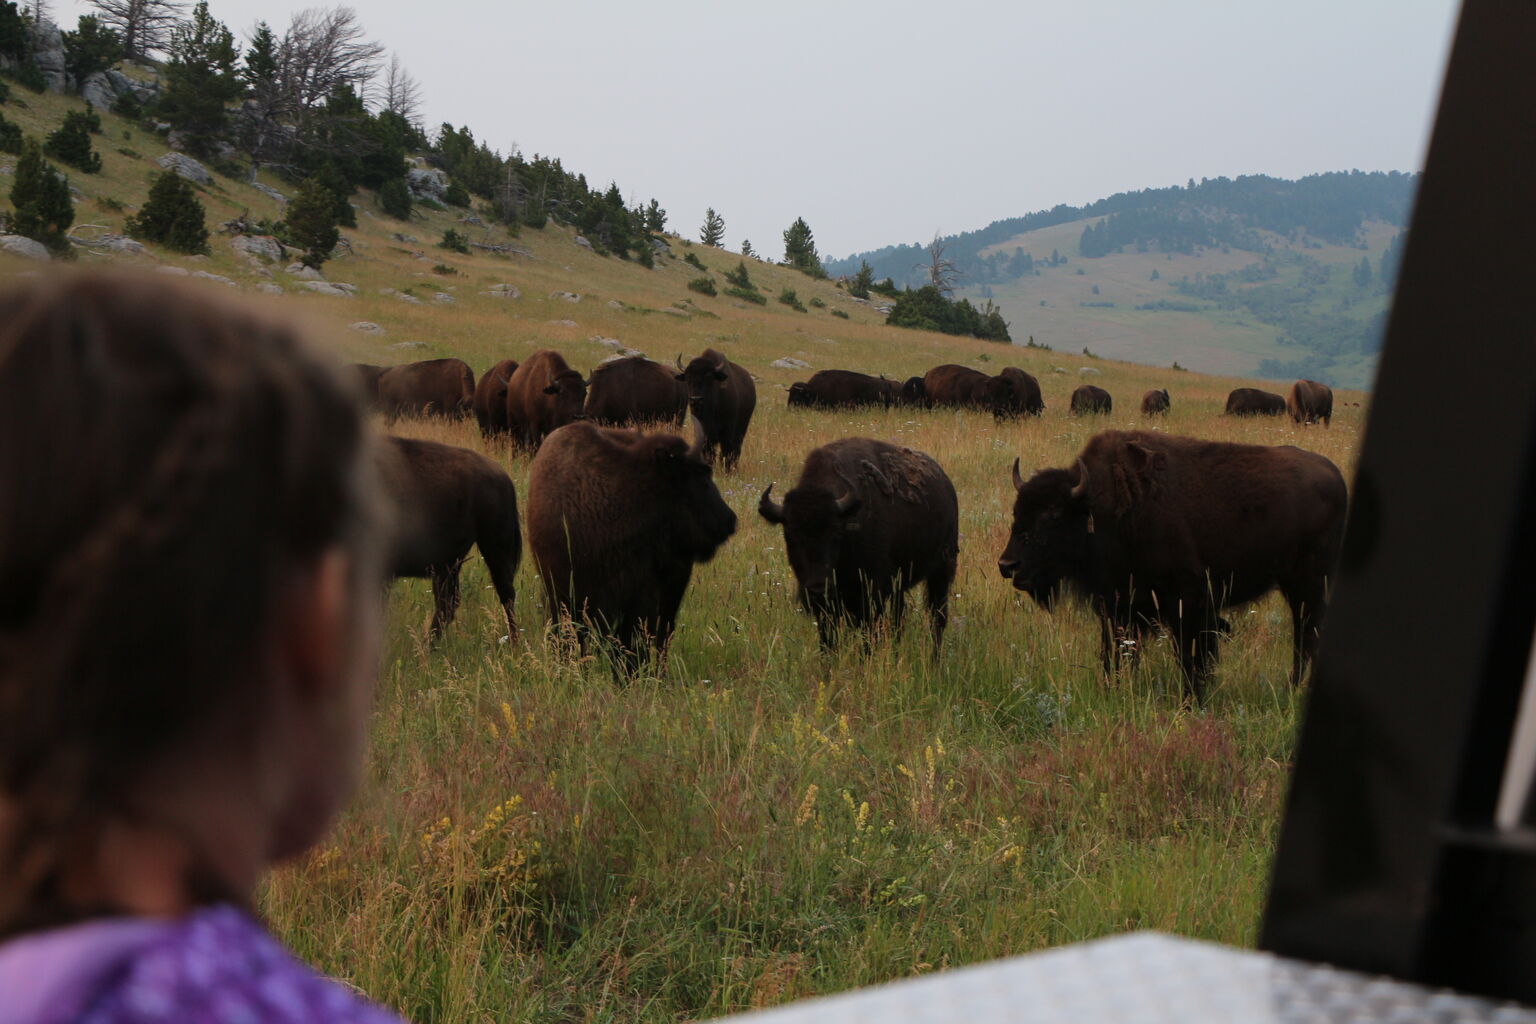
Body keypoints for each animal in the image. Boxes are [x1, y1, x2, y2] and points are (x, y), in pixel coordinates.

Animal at [758, 436, 958, 654]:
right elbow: (828, 642)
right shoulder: (829, 609)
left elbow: (868, 638)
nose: (818, 589)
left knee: (937, 618)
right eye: (790, 535)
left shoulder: (871, 597)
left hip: (941, 572)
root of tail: (946, 484)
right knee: (900, 619)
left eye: (836, 533)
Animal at [995, 426, 1345, 706]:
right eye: (1016, 512)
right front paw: (1113, 691)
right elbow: (1115, 654)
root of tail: (1335, 475)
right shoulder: (1118, 608)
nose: (1008, 564)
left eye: (1053, 515)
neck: (1104, 507)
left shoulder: (1186, 604)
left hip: (1307, 585)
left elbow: (1190, 657)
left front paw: (1191, 701)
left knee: (1306, 634)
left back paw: (1292, 688)